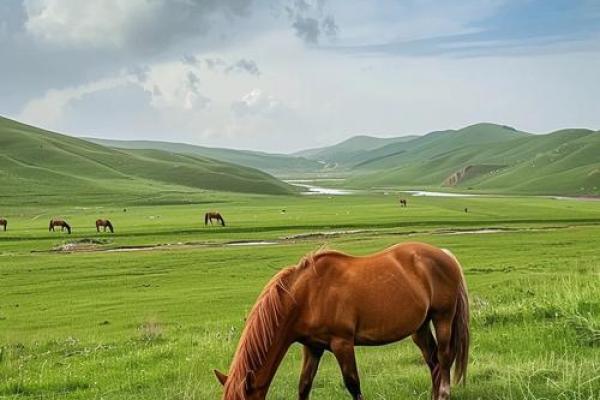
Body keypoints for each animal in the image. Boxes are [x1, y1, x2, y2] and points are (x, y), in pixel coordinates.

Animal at [213, 242, 472, 398]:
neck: (307, 295)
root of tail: (444, 254)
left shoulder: (342, 343)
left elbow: (353, 385)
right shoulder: (313, 347)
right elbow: (304, 386)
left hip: (443, 318)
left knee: (444, 358)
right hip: (420, 327)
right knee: (433, 361)